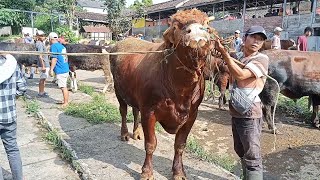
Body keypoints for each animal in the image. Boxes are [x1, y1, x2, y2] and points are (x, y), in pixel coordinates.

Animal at [107, 8, 215, 180]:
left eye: (206, 24)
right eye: (176, 26)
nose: (197, 32)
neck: (180, 89)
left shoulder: (192, 115)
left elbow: (180, 145)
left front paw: (178, 172)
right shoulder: (149, 112)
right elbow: (151, 144)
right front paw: (146, 172)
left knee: (135, 111)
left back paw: (136, 133)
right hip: (119, 90)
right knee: (123, 111)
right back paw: (124, 134)